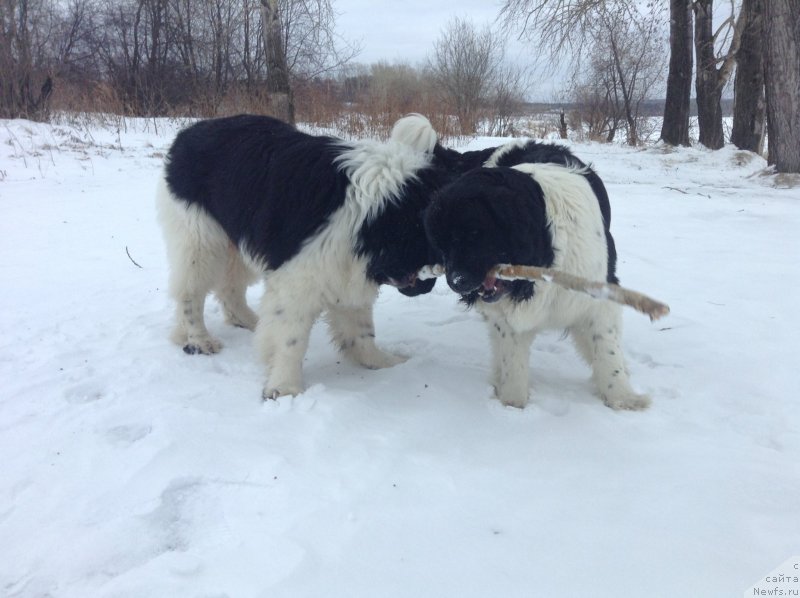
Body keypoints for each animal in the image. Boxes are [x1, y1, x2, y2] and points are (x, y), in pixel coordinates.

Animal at [156, 115, 444, 400]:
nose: (429, 285)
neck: (380, 212)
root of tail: (189, 131)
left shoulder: (343, 270)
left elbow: (361, 330)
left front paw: (381, 363)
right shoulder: (299, 279)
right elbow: (291, 339)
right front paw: (285, 388)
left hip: (235, 239)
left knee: (229, 288)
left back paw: (250, 322)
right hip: (200, 241)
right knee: (190, 294)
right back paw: (199, 340)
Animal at [424, 161, 648, 412]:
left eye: (475, 233)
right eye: (442, 245)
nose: (456, 282)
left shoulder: (596, 298)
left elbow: (607, 349)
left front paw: (623, 398)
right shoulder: (509, 318)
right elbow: (512, 359)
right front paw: (513, 404)